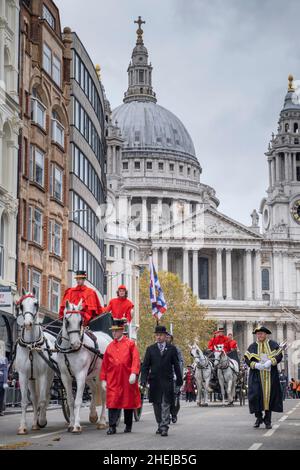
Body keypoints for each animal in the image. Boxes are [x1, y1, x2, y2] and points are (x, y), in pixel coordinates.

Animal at [14, 288, 56, 436]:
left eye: (35, 303)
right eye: (21, 305)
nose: (27, 324)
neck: (31, 346)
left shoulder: (43, 375)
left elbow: (43, 399)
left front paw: (41, 421)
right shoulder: (23, 376)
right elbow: (24, 401)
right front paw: (22, 427)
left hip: (49, 377)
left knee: (46, 396)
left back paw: (40, 421)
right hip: (32, 379)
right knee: (34, 399)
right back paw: (34, 423)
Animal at [55, 302, 112, 434]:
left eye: (81, 321)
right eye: (66, 320)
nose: (76, 343)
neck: (70, 351)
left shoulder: (80, 375)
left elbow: (78, 401)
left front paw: (76, 425)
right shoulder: (65, 377)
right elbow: (70, 401)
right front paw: (71, 424)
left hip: (100, 375)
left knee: (103, 395)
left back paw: (102, 421)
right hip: (90, 376)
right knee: (94, 390)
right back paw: (93, 415)